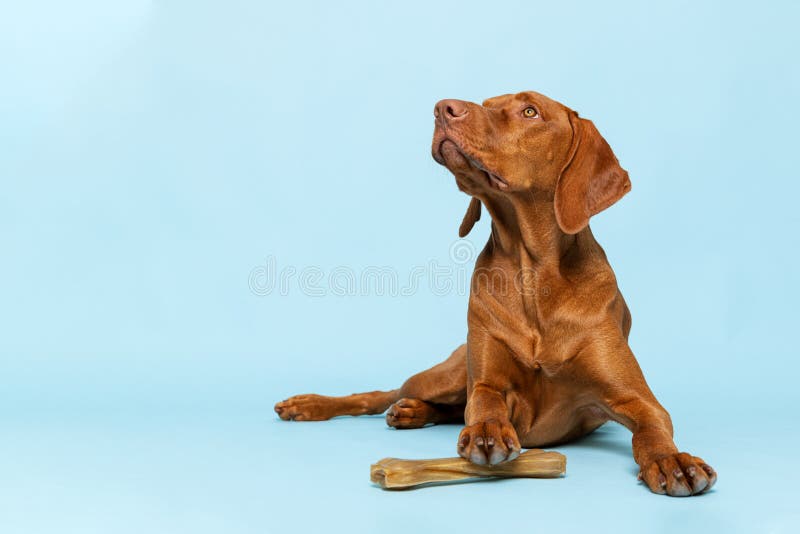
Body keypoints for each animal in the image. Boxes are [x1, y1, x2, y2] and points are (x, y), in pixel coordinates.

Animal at [276, 89, 720, 498]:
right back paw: (312, 404)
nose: (443, 108)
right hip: (447, 374)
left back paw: (412, 413)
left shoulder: (637, 399)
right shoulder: (487, 379)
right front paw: (487, 431)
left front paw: (672, 460)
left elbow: (651, 431)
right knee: (381, 395)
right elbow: (485, 403)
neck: (533, 276)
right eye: (488, 102)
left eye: (530, 111)